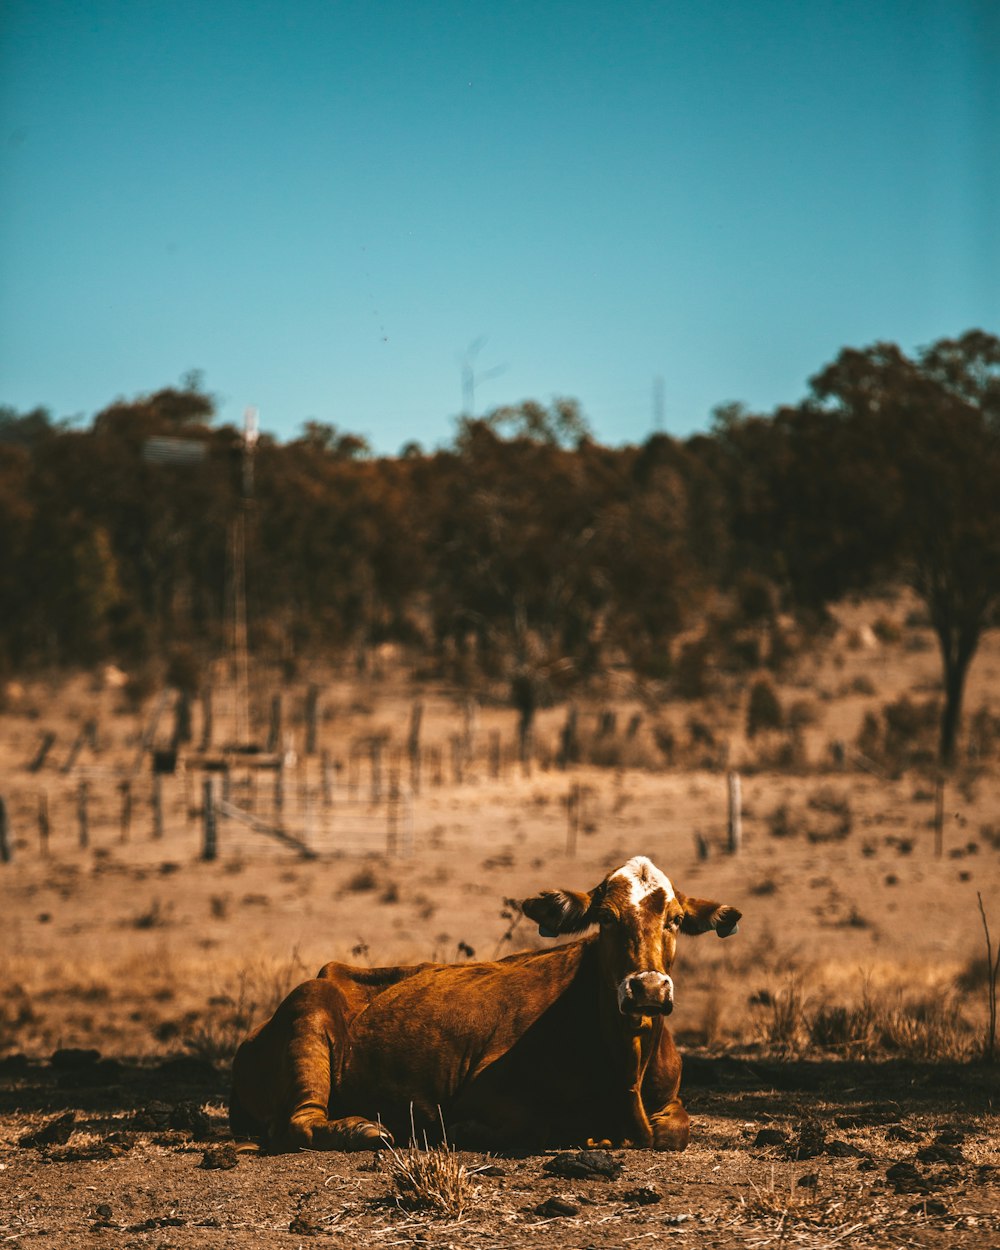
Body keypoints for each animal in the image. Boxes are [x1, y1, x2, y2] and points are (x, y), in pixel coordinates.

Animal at [230, 855, 740, 1155]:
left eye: (676, 920)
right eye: (606, 918)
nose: (648, 989)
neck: (625, 1062)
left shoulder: (670, 1102)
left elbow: (675, 1131)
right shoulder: (482, 1094)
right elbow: (531, 1127)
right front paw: (464, 1132)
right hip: (308, 1014)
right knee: (299, 1123)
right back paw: (363, 1130)